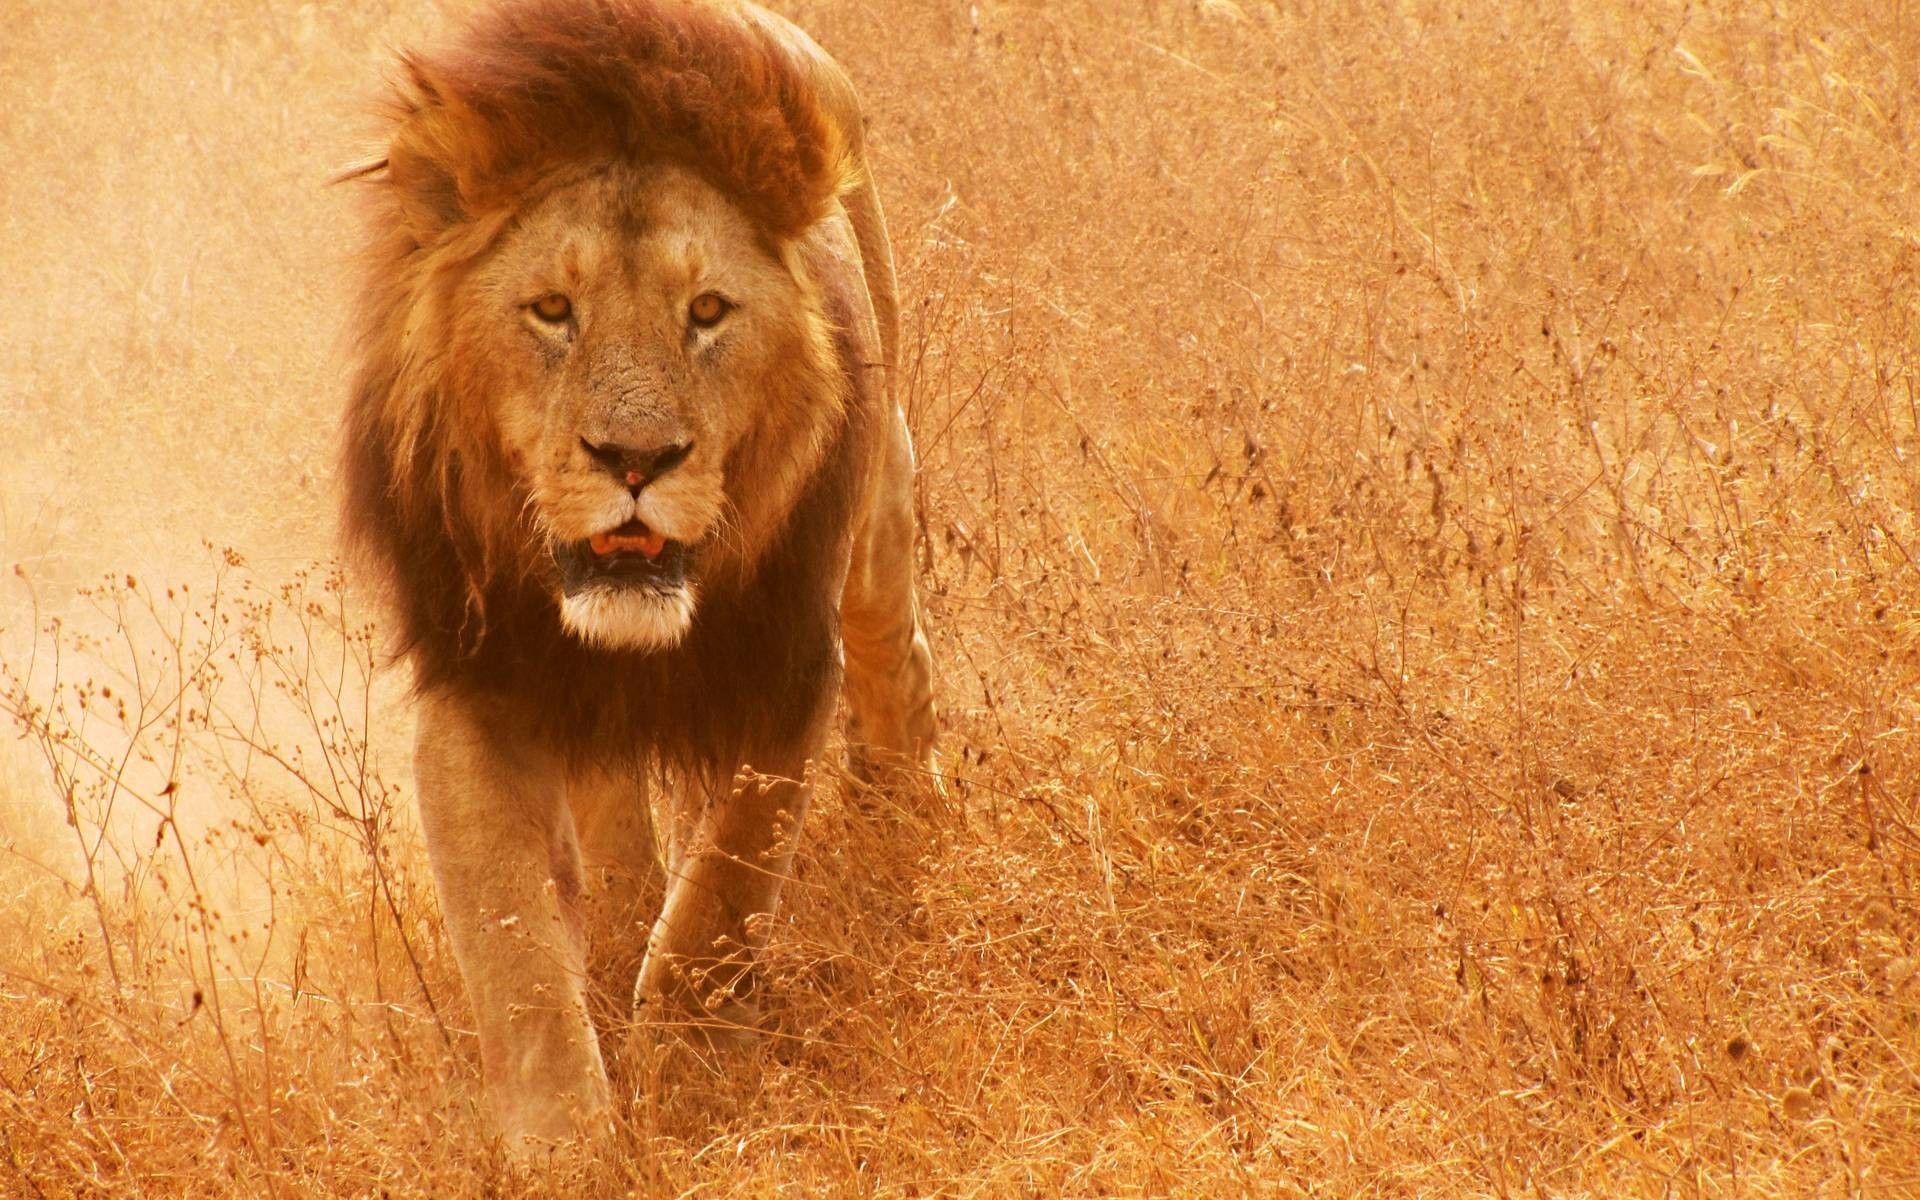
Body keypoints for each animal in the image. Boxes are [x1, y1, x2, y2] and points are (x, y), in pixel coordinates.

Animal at [337, 0, 936, 1148]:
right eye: (550, 311)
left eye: (706, 310)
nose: (634, 459)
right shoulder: (477, 685)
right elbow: (515, 949)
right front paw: (564, 1145)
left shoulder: (786, 671)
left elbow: (720, 897)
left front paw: (698, 1084)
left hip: (881, 495)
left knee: (897, 650)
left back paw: (909, 824)